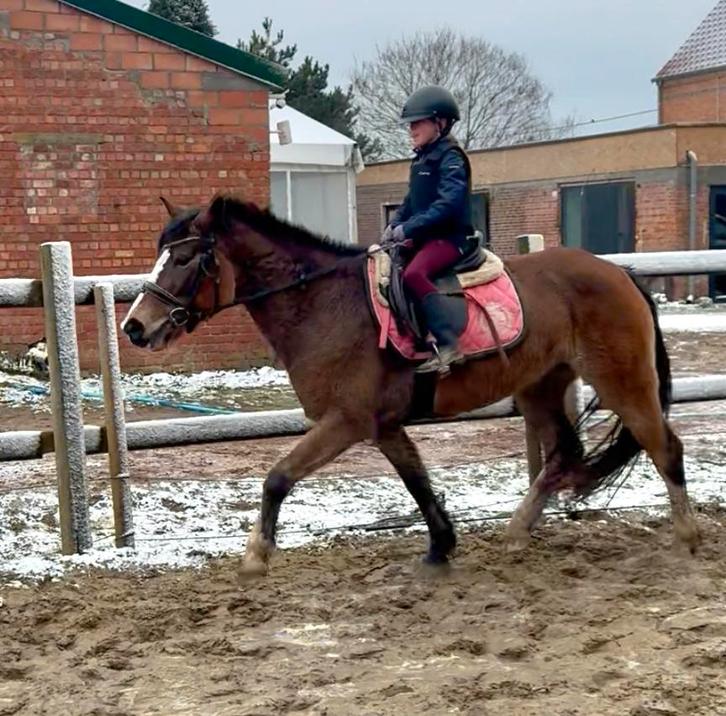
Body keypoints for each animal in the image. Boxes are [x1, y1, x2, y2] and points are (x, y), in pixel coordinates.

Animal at [120, 194, 701, 576]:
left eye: (185, 258)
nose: (135, 327)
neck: (322, 303)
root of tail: (620, 273)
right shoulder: (383, 425)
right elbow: (417, 481)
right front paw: (441, 545)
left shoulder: (346, 422)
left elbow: (277, 477)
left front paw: (256, 555)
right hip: (539, 385)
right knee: (562, 455)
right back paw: (517, 531)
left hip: (623, 380)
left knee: (665, 447)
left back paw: (687, 537)